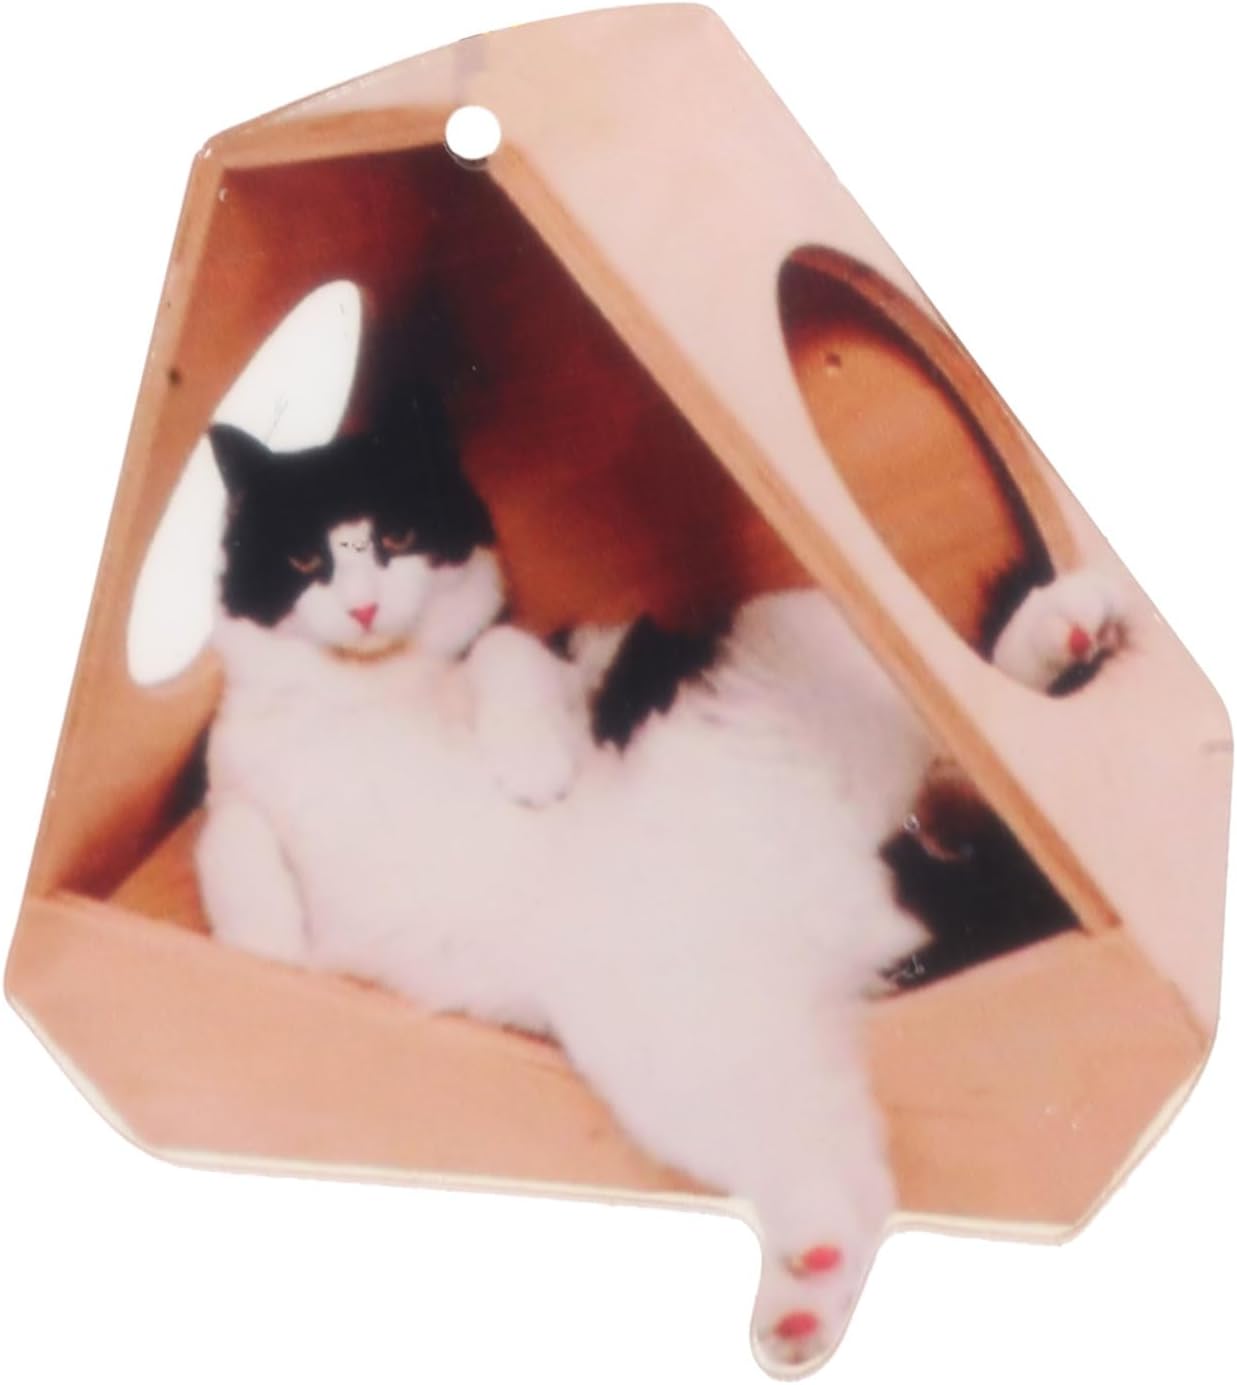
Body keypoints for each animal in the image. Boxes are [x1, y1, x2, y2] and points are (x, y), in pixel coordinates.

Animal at [196, 390, 1126, 1367]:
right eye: (303, 558)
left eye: (397, 534)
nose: (366, 605)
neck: (370, 688)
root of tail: (850, 878)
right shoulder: (245, 797)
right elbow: (229, 832)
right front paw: (265, 939)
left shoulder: (567, 654)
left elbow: (503, 653)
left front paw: (531, 767)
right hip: (686, 1041)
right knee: (839, 1163)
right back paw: (804, 1294)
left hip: (818, 642)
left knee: (956, 712)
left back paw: (1061, 632)